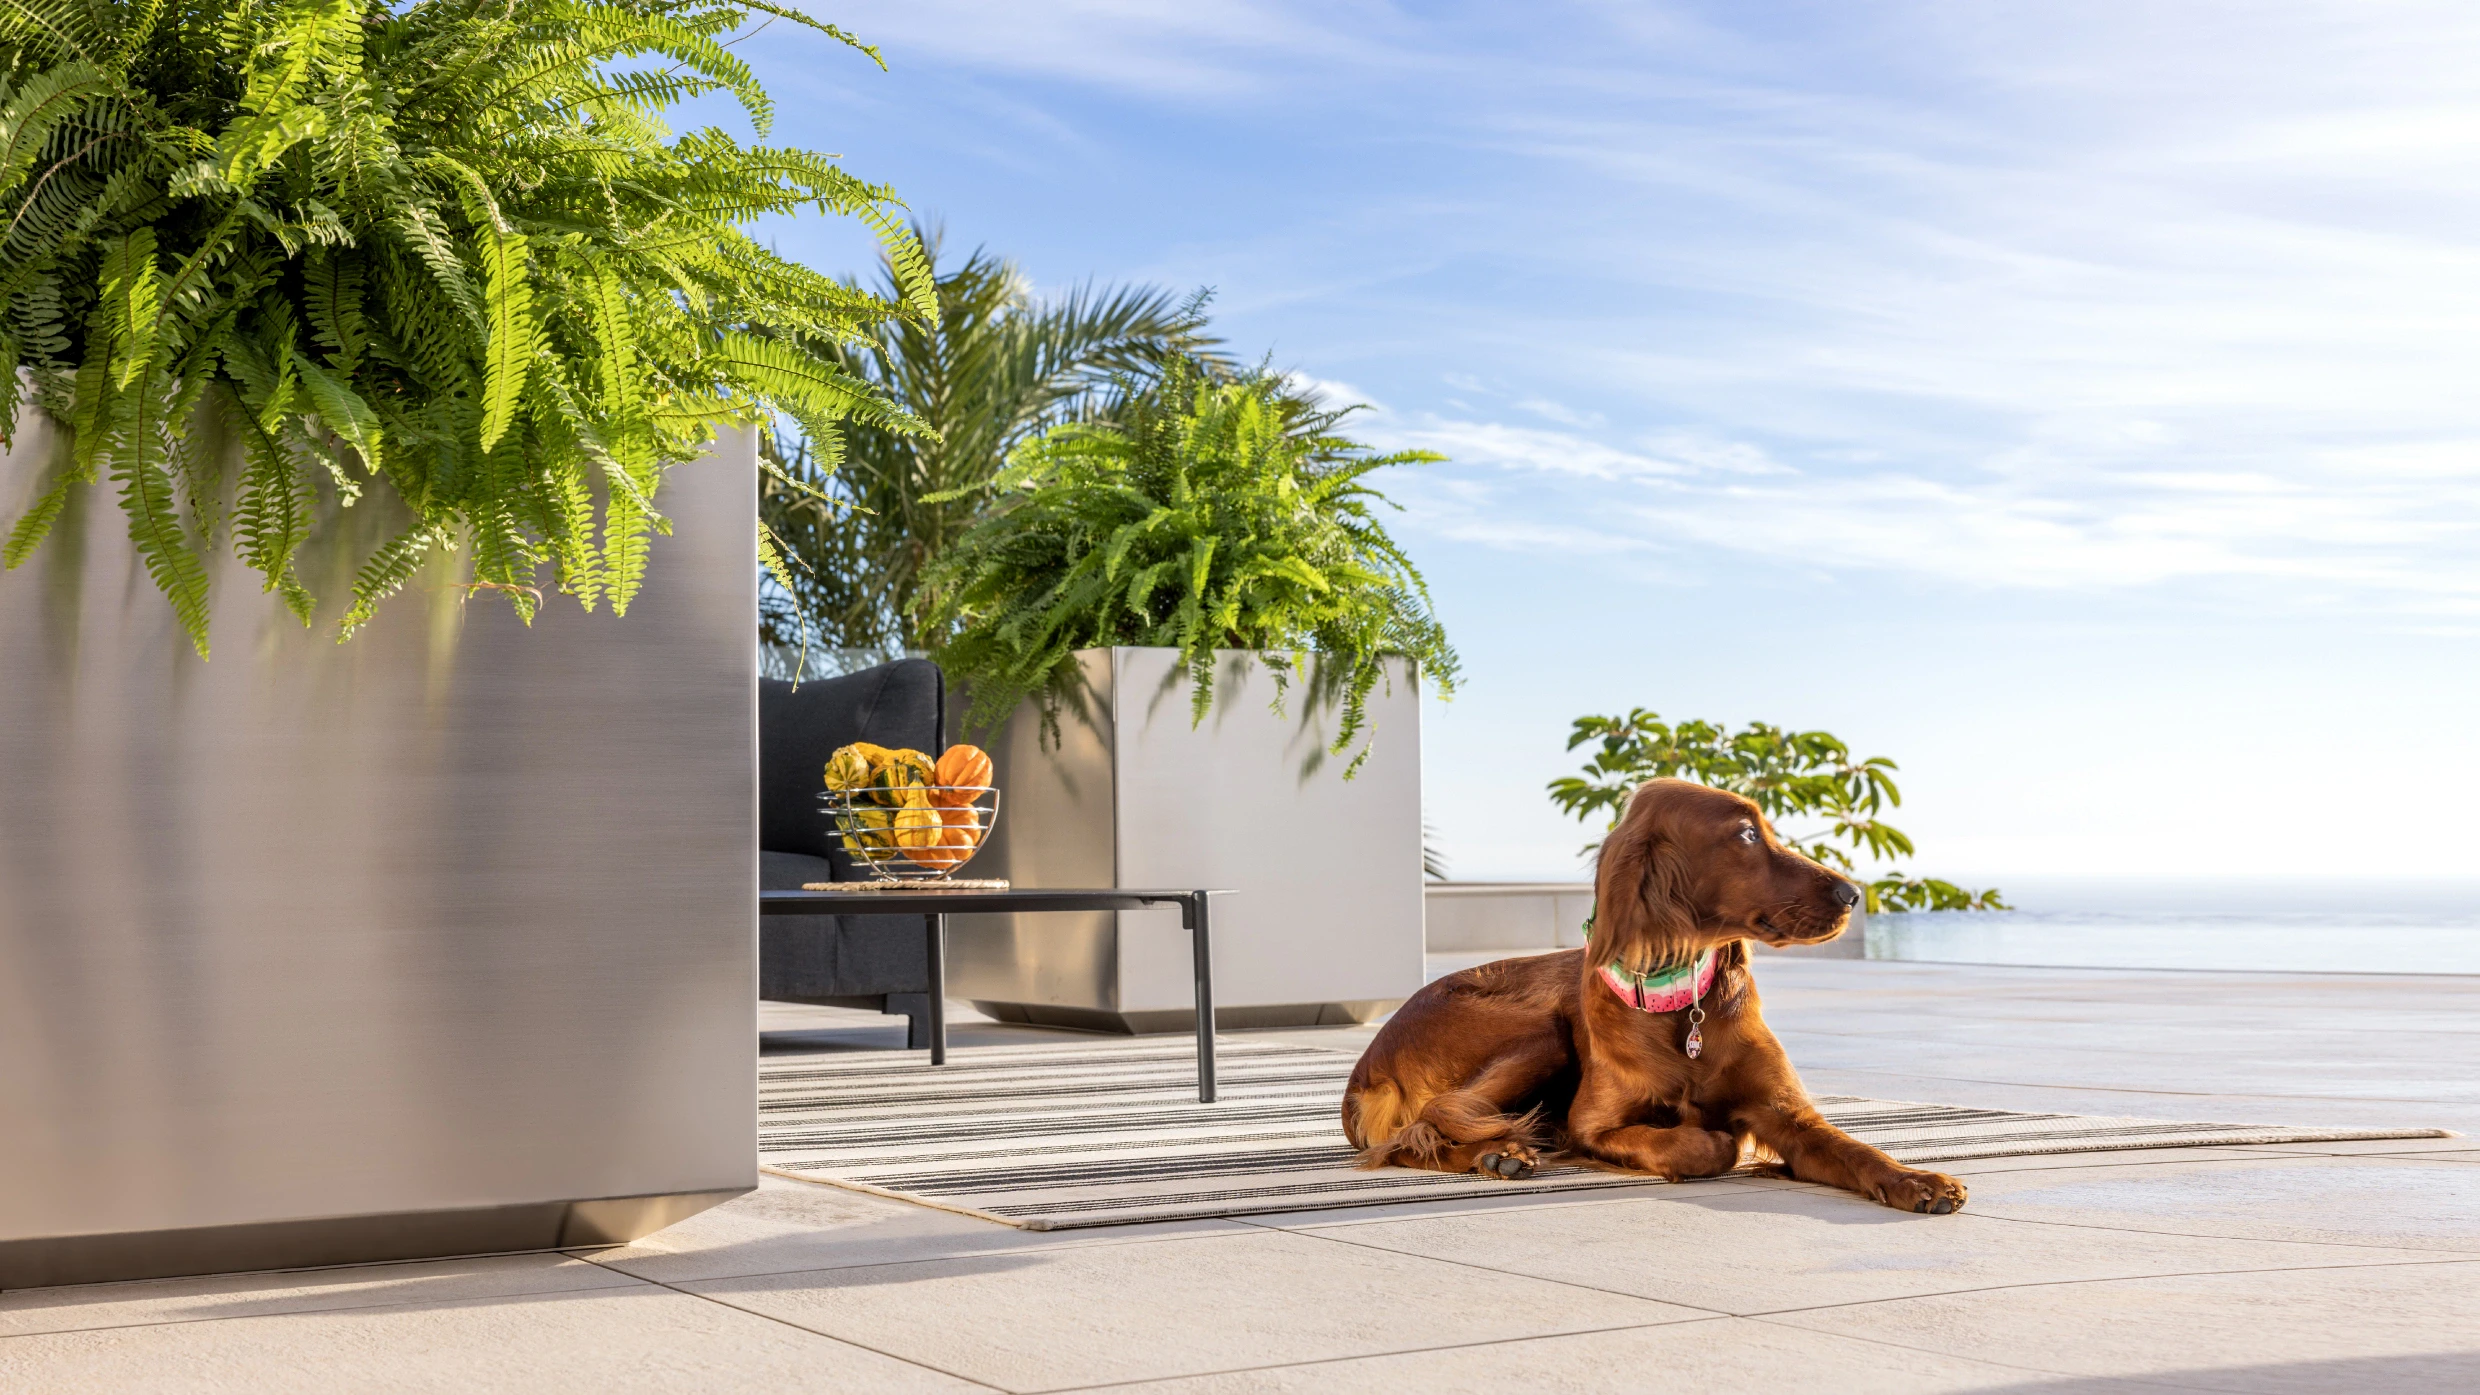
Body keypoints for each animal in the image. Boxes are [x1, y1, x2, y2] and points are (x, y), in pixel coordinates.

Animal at [1349, 774, 1964, 1211]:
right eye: (1746, 833)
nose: (1852, 893)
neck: (1682, 1007)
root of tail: (1365, 1069)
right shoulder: (1592, 1126)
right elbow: (1701, 1143)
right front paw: (1714, 1141)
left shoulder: (1789, 1116)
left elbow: (1855, 1148)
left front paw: (1918, 1180)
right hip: (1540, 1031)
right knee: (1429, 1121)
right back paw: (1503, 1151)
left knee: (1417, 1136)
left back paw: (1500, 1155)